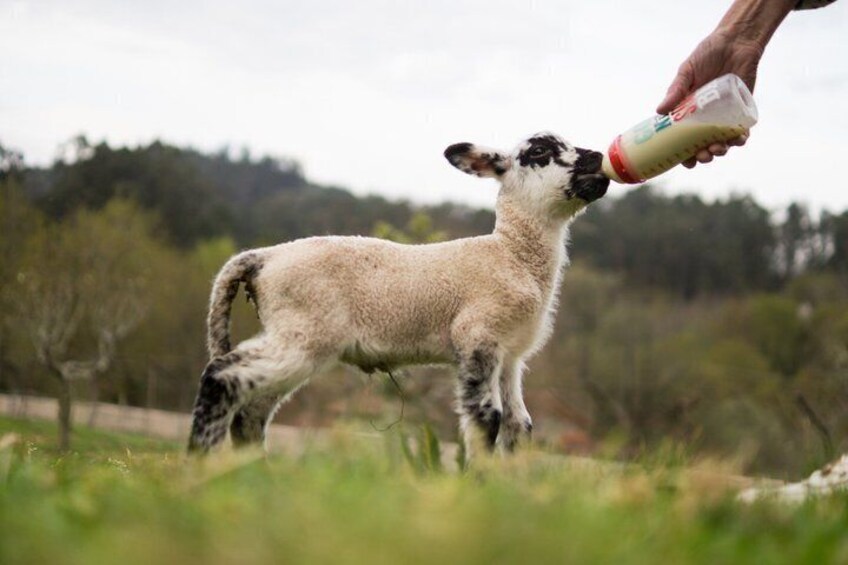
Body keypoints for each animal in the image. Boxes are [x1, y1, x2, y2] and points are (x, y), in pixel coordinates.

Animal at [186, 132, 610, 458]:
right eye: (538, 152)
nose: (597, 157)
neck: (511, 255)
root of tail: (262, 258)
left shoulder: (511, 355)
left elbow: (519, 426)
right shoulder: (477, 336)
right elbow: (487, 419)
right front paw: (476, 486)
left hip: (293, 334)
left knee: (250, 411)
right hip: (303, 330)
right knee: (220, 377)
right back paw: (201, 465)